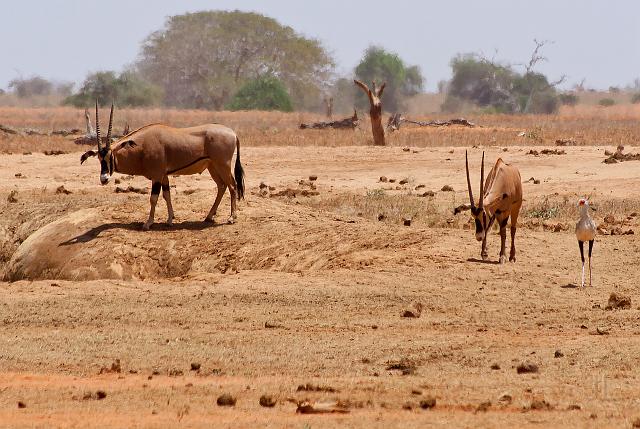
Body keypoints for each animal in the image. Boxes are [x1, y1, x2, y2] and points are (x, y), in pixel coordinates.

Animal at [80, 102, 245, 229]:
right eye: (99, 158)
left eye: (110, 156)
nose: (104, 178)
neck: (141, 146)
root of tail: (233, 133)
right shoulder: (164, 176)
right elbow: (167, 195)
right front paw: (170, 220)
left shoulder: (157, 176)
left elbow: (153, 198)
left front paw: (148, 223)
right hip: (213, 167)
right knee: (222, 186)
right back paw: (209, 216)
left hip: (223, 165)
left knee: (232, 186)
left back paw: (232, 217)